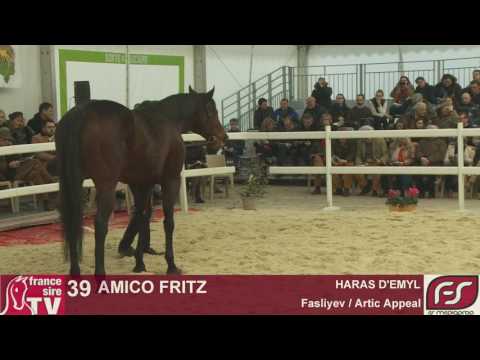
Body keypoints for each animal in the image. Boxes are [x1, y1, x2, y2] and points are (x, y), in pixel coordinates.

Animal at [56, 88, 227, 276]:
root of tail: (81, 112)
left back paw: (75, 272)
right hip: (106, 185)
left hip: (71, 183)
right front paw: (171, 265)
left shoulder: (142, 183)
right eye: (211, 110)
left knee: (72, 222)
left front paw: (139, 263)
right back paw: (100, 273)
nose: (223, 137)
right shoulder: (171, 180)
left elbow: (140, 217)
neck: (168, 120)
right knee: (100, 224)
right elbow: (168, 222)